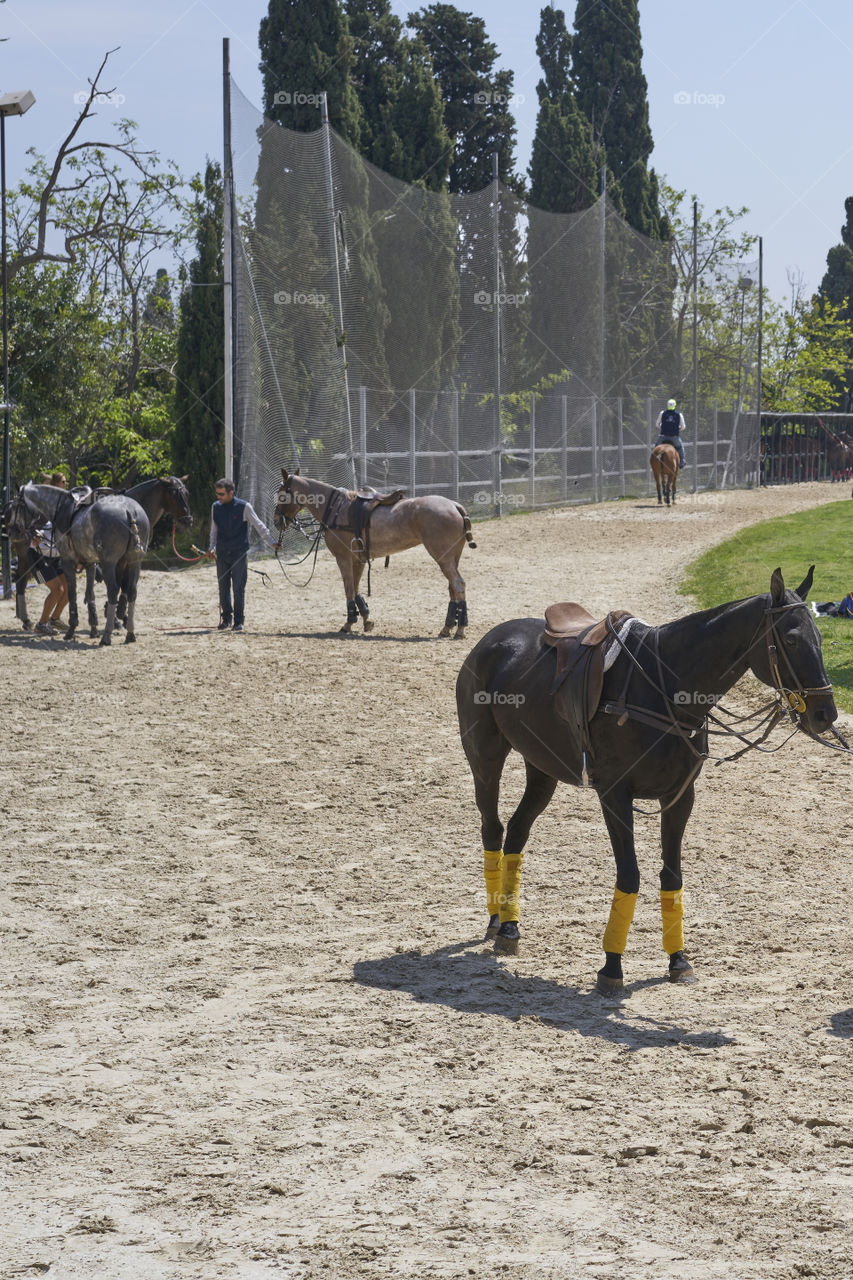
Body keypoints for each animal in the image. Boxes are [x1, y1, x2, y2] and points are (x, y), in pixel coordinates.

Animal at [19, 481, 149, 645]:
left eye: (17, 504)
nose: (18, 529)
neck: (60, 508)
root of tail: (129, 510)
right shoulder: (91, 563)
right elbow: (90, 595)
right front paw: (93, 629)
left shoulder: (68, 562)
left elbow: (72, 595)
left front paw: (71, 630)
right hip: (134, 562)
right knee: (131, 591)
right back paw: (130, 634)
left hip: (109, 563)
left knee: (113, 591)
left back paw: (107, 635)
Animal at [274, 468, 473, 637]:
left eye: (281, 493)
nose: (276, 520)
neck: (335, 508)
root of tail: (455, 506)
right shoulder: (359, 559)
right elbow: (356, 589)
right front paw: (365, 619)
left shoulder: (343, 558)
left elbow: (348, 589)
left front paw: (348, 623)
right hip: (452, 558)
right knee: (452, 587)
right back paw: (447, 627)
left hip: (443, 557)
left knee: (458, 584)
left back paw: (460, 628)